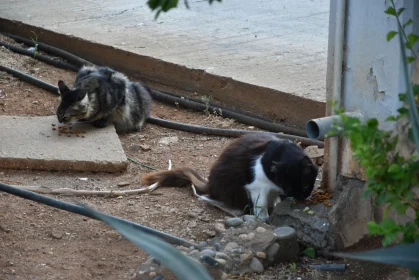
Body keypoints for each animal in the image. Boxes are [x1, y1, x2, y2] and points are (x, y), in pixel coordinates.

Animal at [142, 133, 318, 221]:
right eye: (289, 187)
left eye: (305, 186)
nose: (301, 197)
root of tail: (210, 185)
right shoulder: (258, 187)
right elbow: (261, 207)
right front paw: (265, 219)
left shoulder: (274, 188)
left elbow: (273, 200)